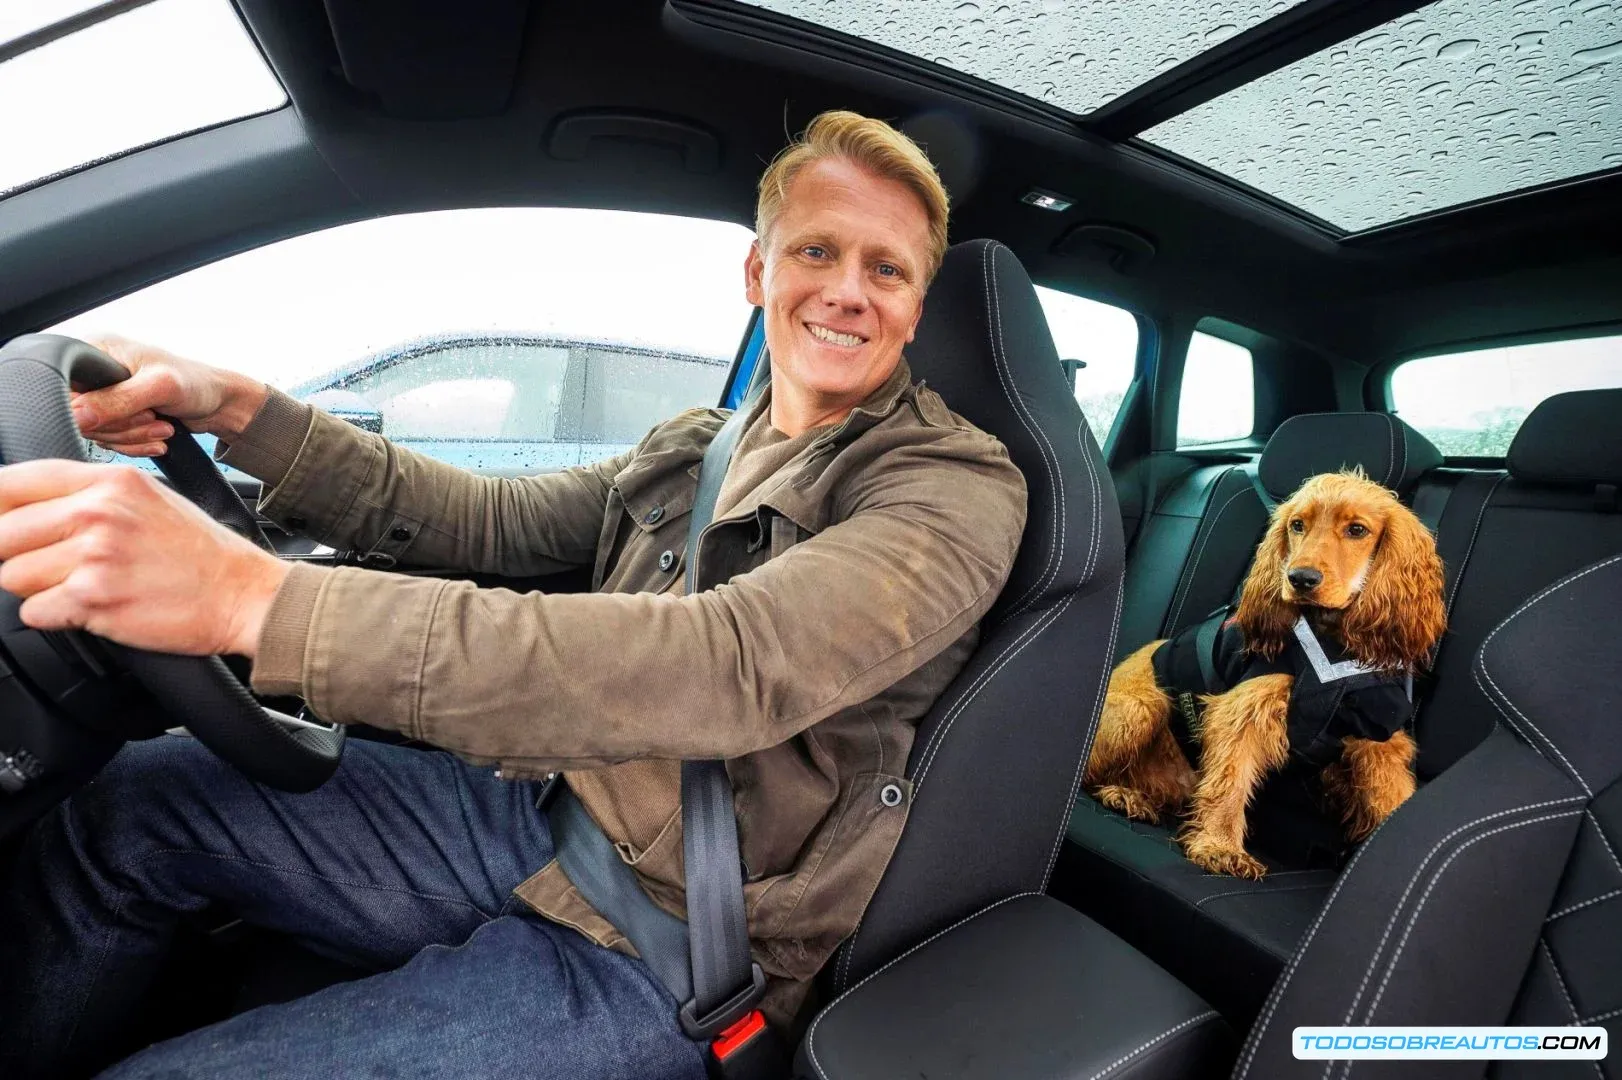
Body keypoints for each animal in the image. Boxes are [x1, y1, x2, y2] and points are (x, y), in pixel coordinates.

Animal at [1089, 470, 1446, 875]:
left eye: (1357, 529)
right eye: (1297, 525)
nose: (1300, 578)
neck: (1332, 643)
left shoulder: (1379, 735)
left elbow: (1390, 798)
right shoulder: (1245, 710)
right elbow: (1229, 781)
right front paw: (1220, 845)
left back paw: (1133, 796)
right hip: (1141, 709)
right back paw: (1122, 794)